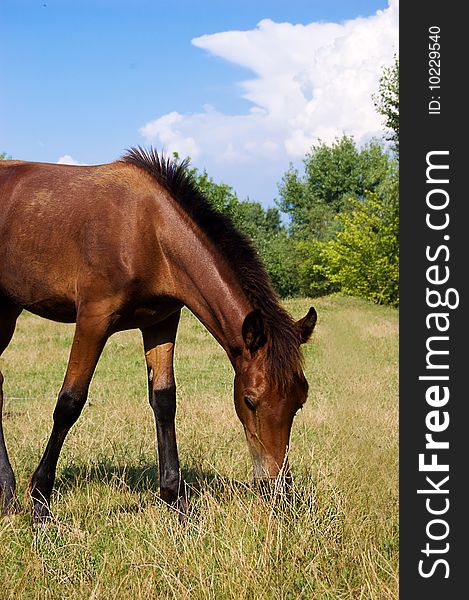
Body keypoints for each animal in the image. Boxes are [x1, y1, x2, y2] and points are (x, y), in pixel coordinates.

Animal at [0, 148, 316, 524]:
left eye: (300, 401)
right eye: (250, 400)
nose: (278, 490)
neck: (148, 230)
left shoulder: (161, 322)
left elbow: (164, 401)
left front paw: (177, 504)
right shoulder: (93, 318)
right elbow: (69, 403)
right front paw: (41, 504)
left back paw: (6, 497)